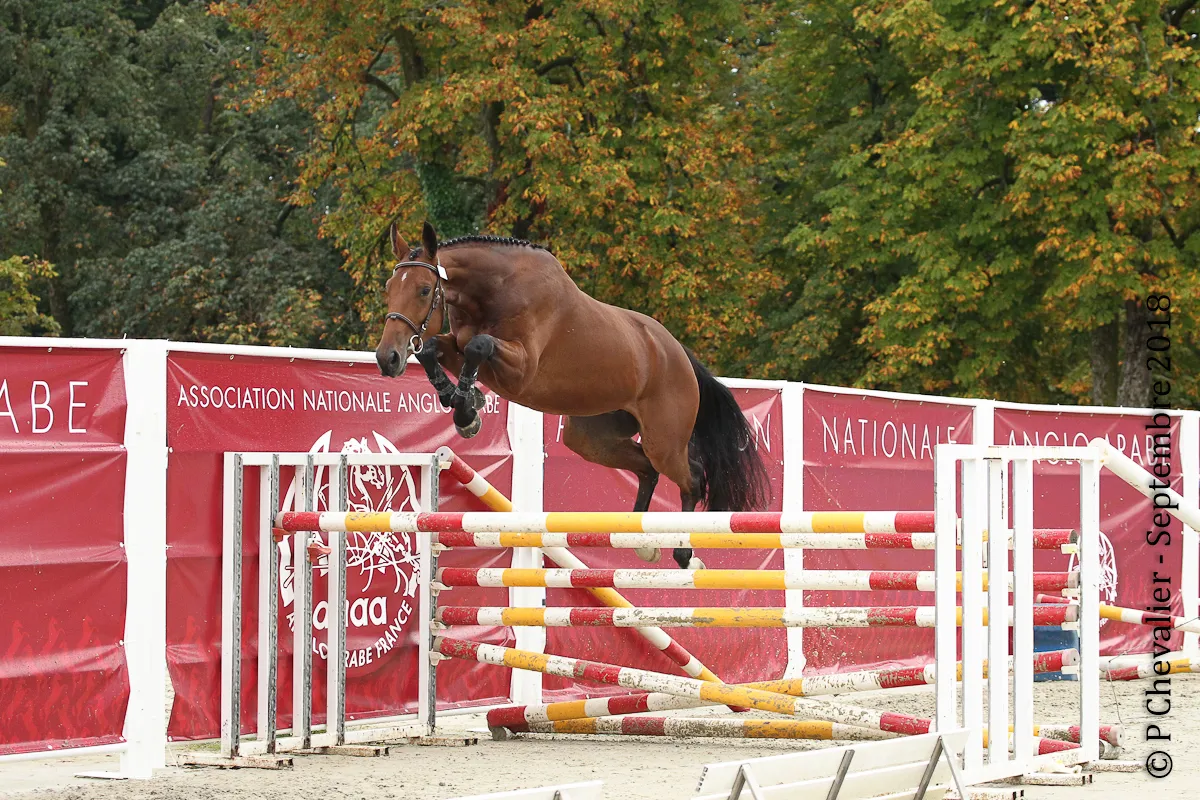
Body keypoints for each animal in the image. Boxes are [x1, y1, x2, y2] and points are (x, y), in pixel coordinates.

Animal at [374, 221, 770, 570]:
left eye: (424, 290)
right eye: (389, 288)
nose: (387, 358)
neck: (493, 289)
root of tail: (679, 355)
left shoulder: (521, 371)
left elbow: (479, 345)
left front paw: (466, 410)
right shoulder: (459, 348)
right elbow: (432, 349)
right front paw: (465, 406)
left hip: (665, 441)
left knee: (692, 477)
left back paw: (685, 555)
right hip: (592, 438)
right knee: (646, 469)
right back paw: (642, 545)